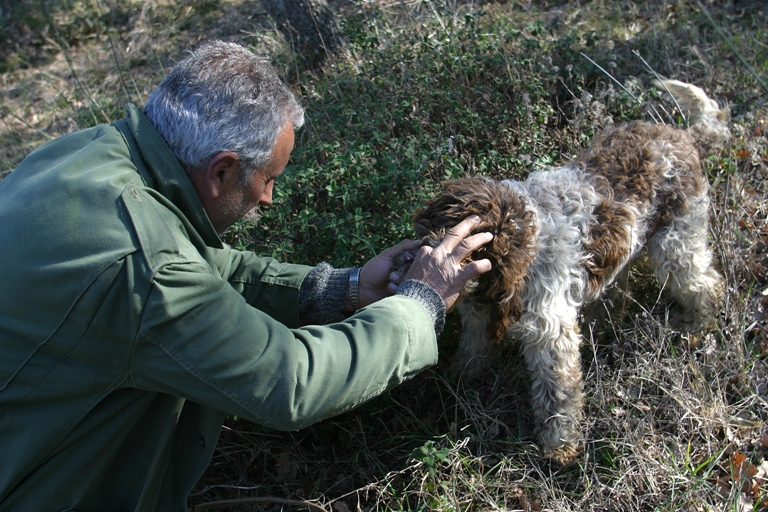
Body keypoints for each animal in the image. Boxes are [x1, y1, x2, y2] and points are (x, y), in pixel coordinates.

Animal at [408, 80, 728, 464]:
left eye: (473, 247)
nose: (426, 257)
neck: (527, 234)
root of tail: (685, 137)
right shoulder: (480, 314)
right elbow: (474, 348)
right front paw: (461, 377)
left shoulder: (550, 331)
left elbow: (557, 392)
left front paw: (559, 445)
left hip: (676, 242)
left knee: (706, 283)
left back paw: (697, 326)